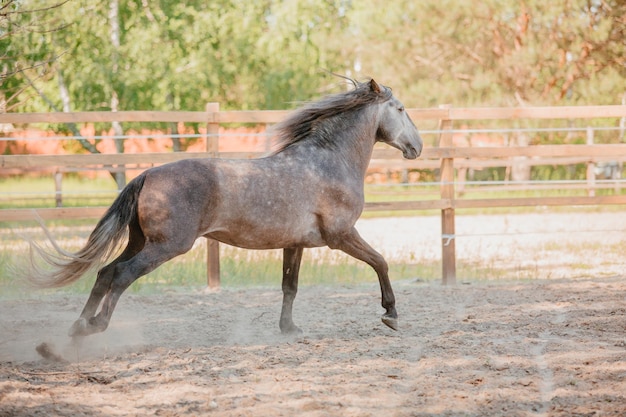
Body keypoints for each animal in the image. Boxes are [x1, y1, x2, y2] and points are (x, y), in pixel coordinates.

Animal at [28, 79, 420, 338]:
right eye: (401, 109)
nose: (417, 146)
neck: (327, 163)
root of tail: (146, 174)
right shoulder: (341, 235)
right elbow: (381, 262)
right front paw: (391, 314)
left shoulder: (295, 244)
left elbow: (289, 286)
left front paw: (289, 328)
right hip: (167, 246)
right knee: (122, 275)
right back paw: (94, 326)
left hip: (140, 241)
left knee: (105, 273)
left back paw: (77, 326)